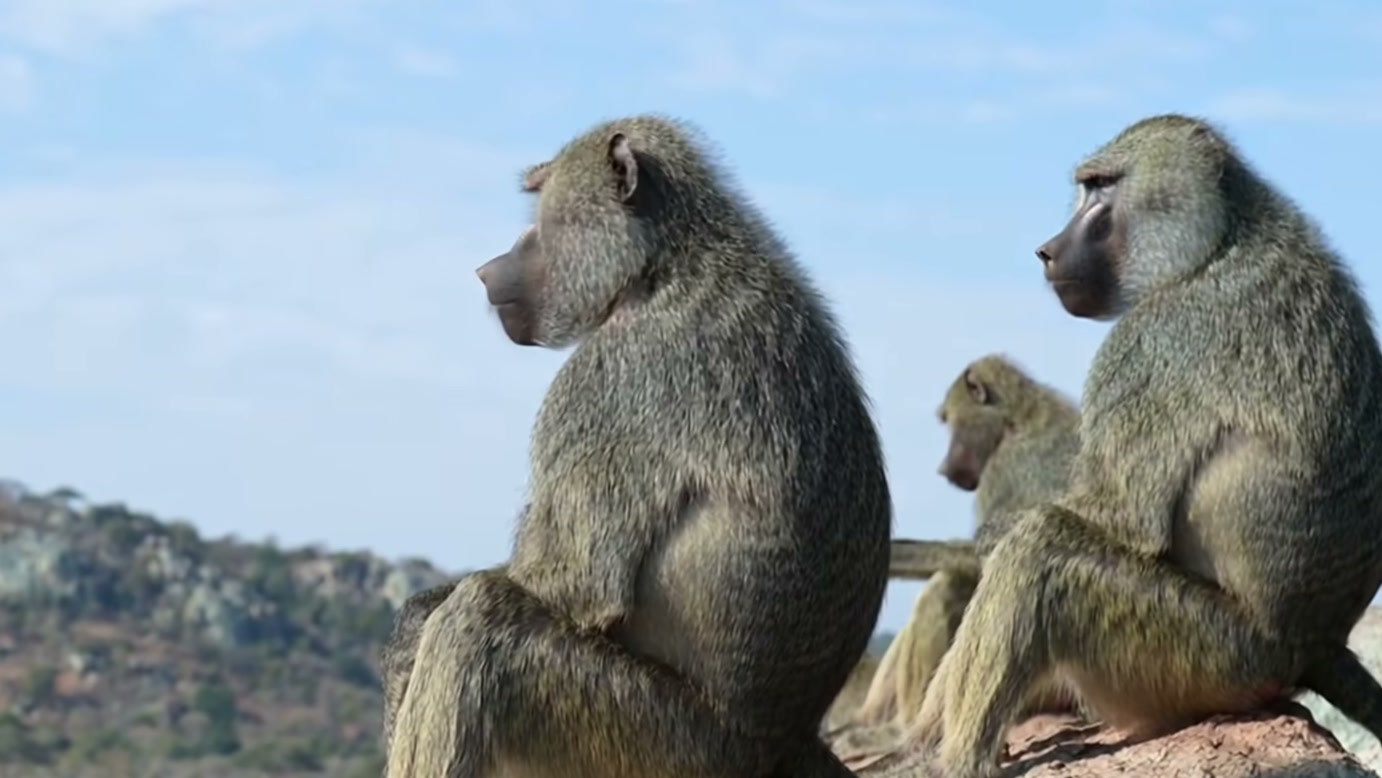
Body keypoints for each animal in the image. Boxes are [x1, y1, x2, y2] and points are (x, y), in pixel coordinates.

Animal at [382, 115, 892, 778]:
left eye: (539, 202)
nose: (489, 268)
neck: (665, 266)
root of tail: (785, 740)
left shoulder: (609, 380)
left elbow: (578, 581)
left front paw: (415, 624)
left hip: (660, 744)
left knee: (480, 621)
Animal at [832, 356, 1083, 759]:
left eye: (950, 421)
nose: (944, 468)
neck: (1020, 420)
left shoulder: (1002, 471)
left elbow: (988, 557)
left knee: (947, 586)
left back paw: (899, 738)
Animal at [905, 113, 1382, 778]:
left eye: (1102, 186)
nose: (1047, 249)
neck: (1219, 243)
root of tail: (1314, 645)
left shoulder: (1151, 342)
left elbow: (1122, 520)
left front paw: (986, 542)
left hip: (1203, 659)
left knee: (1042, 548)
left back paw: (962, 760)